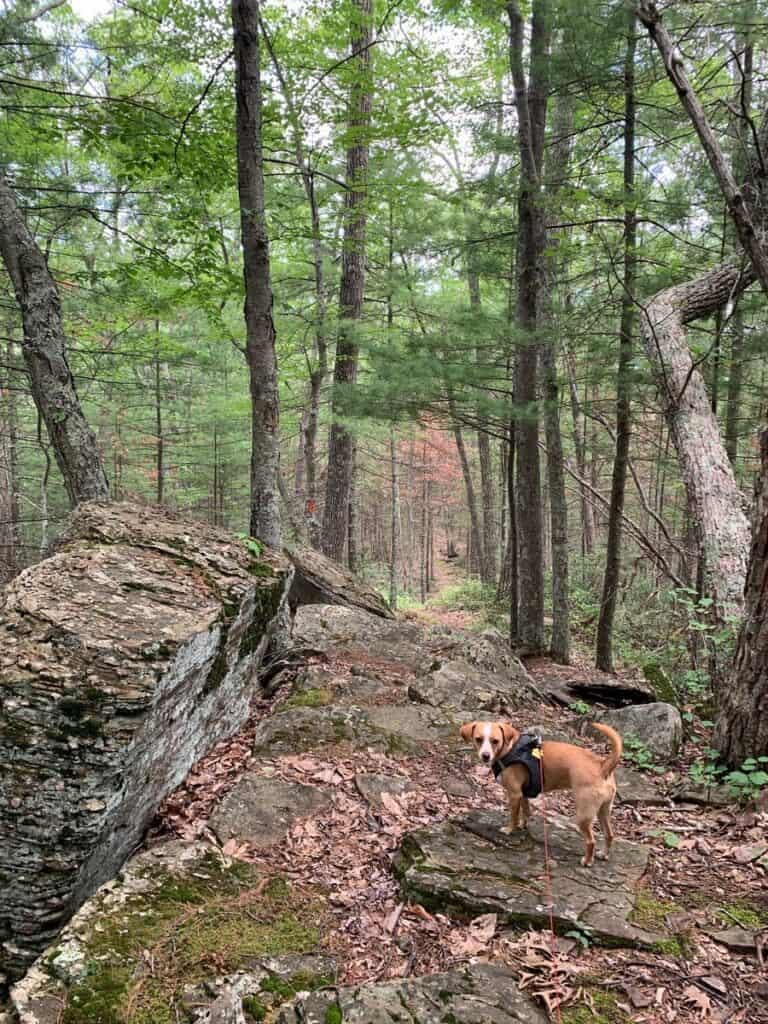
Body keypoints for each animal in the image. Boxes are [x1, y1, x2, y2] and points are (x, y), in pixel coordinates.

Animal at [460, 720, 622, 864]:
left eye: (495, 741)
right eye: (478, 739)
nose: (485, 755)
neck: (511, 749)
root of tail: (603, 766)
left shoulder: (514, 794)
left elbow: (513, 816)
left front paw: (510, 829)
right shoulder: (523, 794)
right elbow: (526, 811)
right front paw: (523, 825)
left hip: (584, 815)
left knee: (591, 841)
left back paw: (587, 861)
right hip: (603, 811)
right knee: (609, 834)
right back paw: (603, 854)